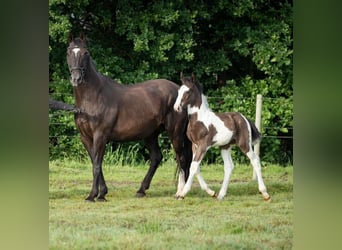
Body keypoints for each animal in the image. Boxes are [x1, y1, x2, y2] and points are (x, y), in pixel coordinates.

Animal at [65, 33, 191, 201]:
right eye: (68, 52)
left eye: (86, 53)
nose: (76, 78)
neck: (93, 97)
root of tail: (179, 91)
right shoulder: (85, 137)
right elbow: (95, 163)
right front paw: (102, 193)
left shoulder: (100, 136)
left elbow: (97, 165)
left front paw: (92, 195)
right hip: (150, 135)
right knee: (157, 158)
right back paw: (141, 190)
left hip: (175, 133)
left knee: (181, 158)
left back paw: (180, 192)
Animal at [174, 73, 270, 201]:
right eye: (179, 91)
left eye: (187, 92)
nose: (176, 108)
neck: (199, 119)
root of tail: (244, 118)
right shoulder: (195, 145)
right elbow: (195, 167)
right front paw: (211, 192)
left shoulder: (203, 146)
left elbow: (193, 167)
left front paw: (182, 193)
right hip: (225, 146)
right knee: (229, 167)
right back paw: (220, 195)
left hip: (244, 144)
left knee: (255, 160)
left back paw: (265, 193)